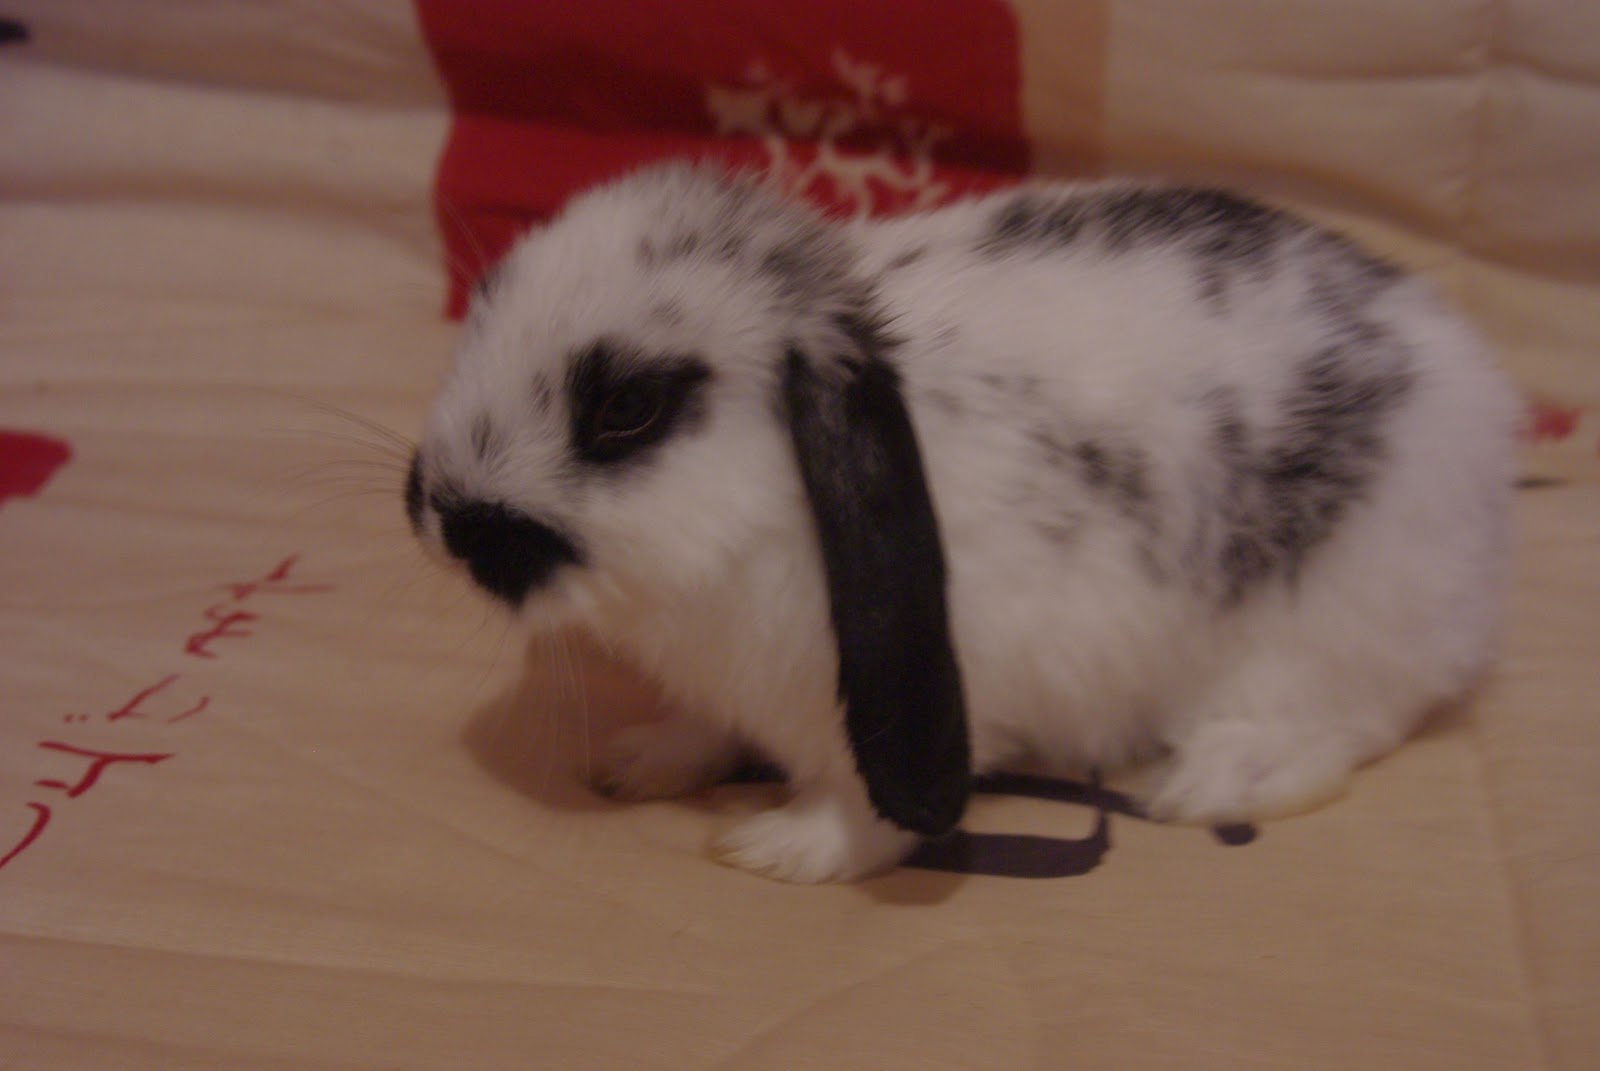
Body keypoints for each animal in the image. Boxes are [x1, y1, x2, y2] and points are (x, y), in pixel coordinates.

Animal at [405, 162, 1517, 883]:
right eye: (485, 299)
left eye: (626, 408)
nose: (441, 518)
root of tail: (1469, 379)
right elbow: (701, 727)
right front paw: (641, 760)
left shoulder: (896, 701)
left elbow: (864, 812)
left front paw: (779, 849)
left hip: (1332, 628)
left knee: (1346, 721)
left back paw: (1209, 783)